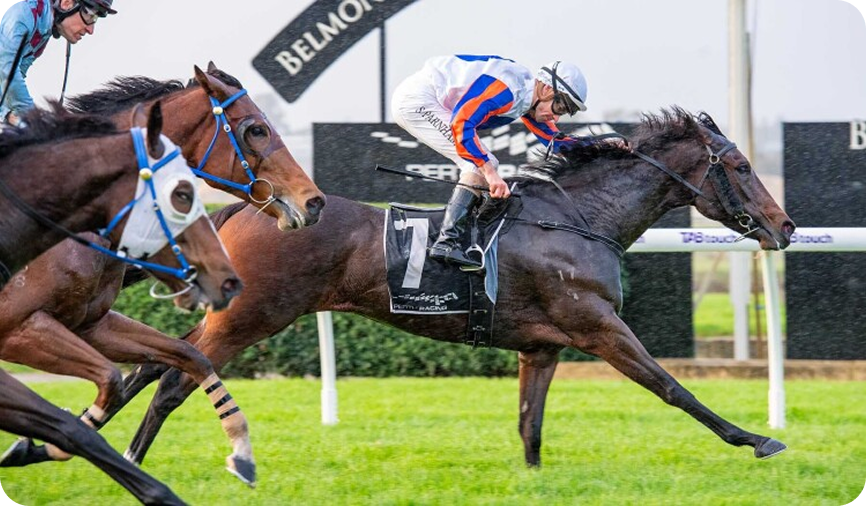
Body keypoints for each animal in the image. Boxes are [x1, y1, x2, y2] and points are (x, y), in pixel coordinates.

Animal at [0, 63, 323, 486]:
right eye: (256, 129)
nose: (314, 202)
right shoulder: (21, 329)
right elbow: (113, 379)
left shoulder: (90, 324)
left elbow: (183, 358)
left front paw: (241, 451)